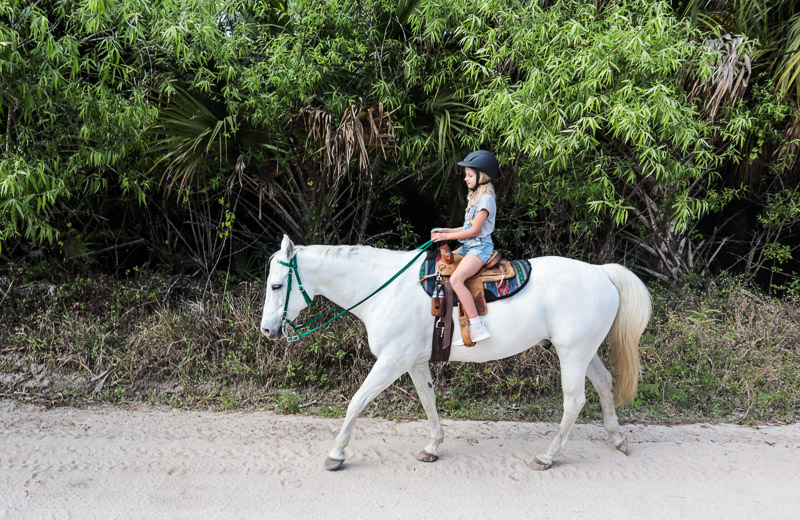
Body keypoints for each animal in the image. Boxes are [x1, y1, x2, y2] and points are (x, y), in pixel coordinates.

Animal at [260, 236, 648, 472]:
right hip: (584, 351)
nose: (267, 330)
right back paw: (618, 438)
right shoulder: (415, 362)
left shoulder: (391, 361)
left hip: (572, 353)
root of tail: (600, 273)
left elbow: (356, 401)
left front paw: (336, 454)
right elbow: (428, 401)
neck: (384, 289)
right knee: (604, 383)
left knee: (574, 401)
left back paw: (547, 456)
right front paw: (433, 447)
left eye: (277, 285)